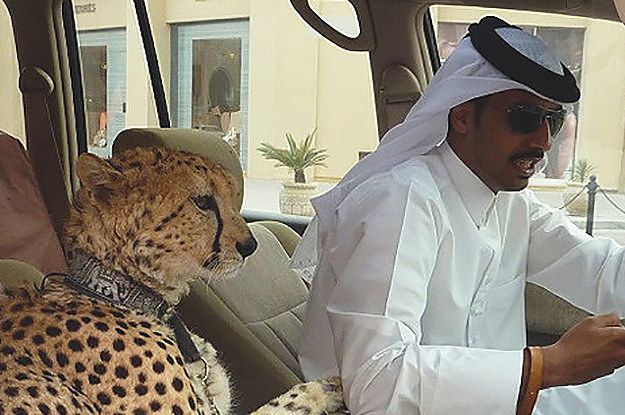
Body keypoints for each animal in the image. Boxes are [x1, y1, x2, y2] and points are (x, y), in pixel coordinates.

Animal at [0, 146, 346, 415]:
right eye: (203, 202)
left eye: (233, 196)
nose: (250, 246)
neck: (118, 287)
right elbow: (282, 402)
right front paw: (330, 385)